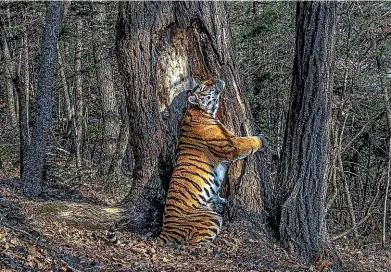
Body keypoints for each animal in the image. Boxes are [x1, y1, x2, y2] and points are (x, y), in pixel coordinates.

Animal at [158, 78, 266, 246]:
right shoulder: (232, 144)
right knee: (193, 244)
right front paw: (262, 138)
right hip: (210, 218)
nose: (214, 78)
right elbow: (248, 141)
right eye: (204, 86)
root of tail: (165, 230)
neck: (199, 111)